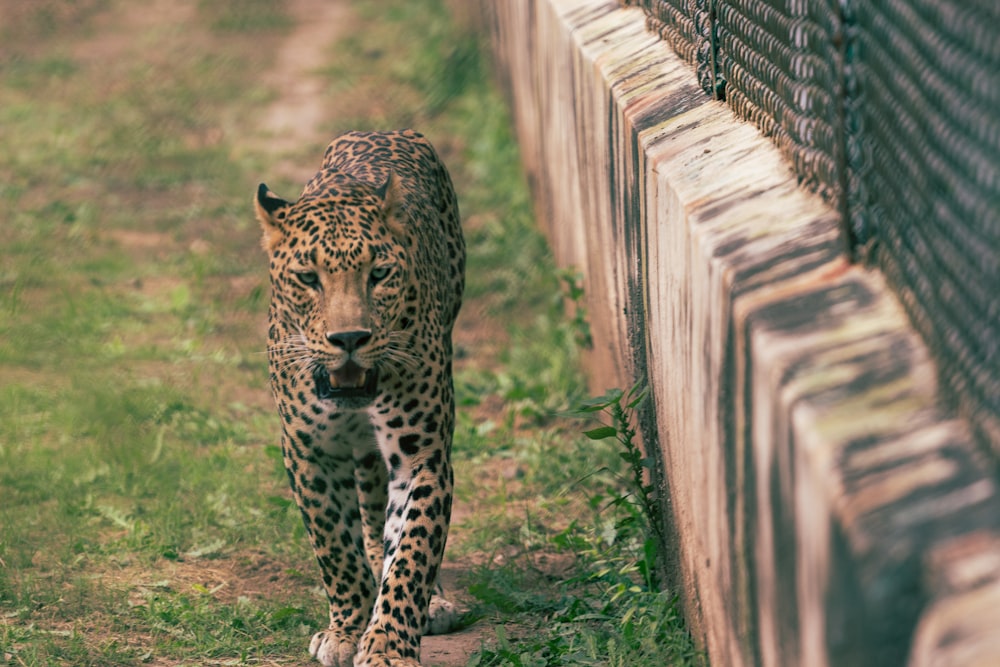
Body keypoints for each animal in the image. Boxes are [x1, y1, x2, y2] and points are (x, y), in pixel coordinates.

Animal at [254, 130, 464, 667]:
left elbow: (412, 552)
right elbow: (335, 546)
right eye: (309, 279)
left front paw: (388, 644)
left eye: (380, 274)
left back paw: (432, 602)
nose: (349, 338)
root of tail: (386, 131)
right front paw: (346, 630)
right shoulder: (307, 453)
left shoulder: (421, 456)